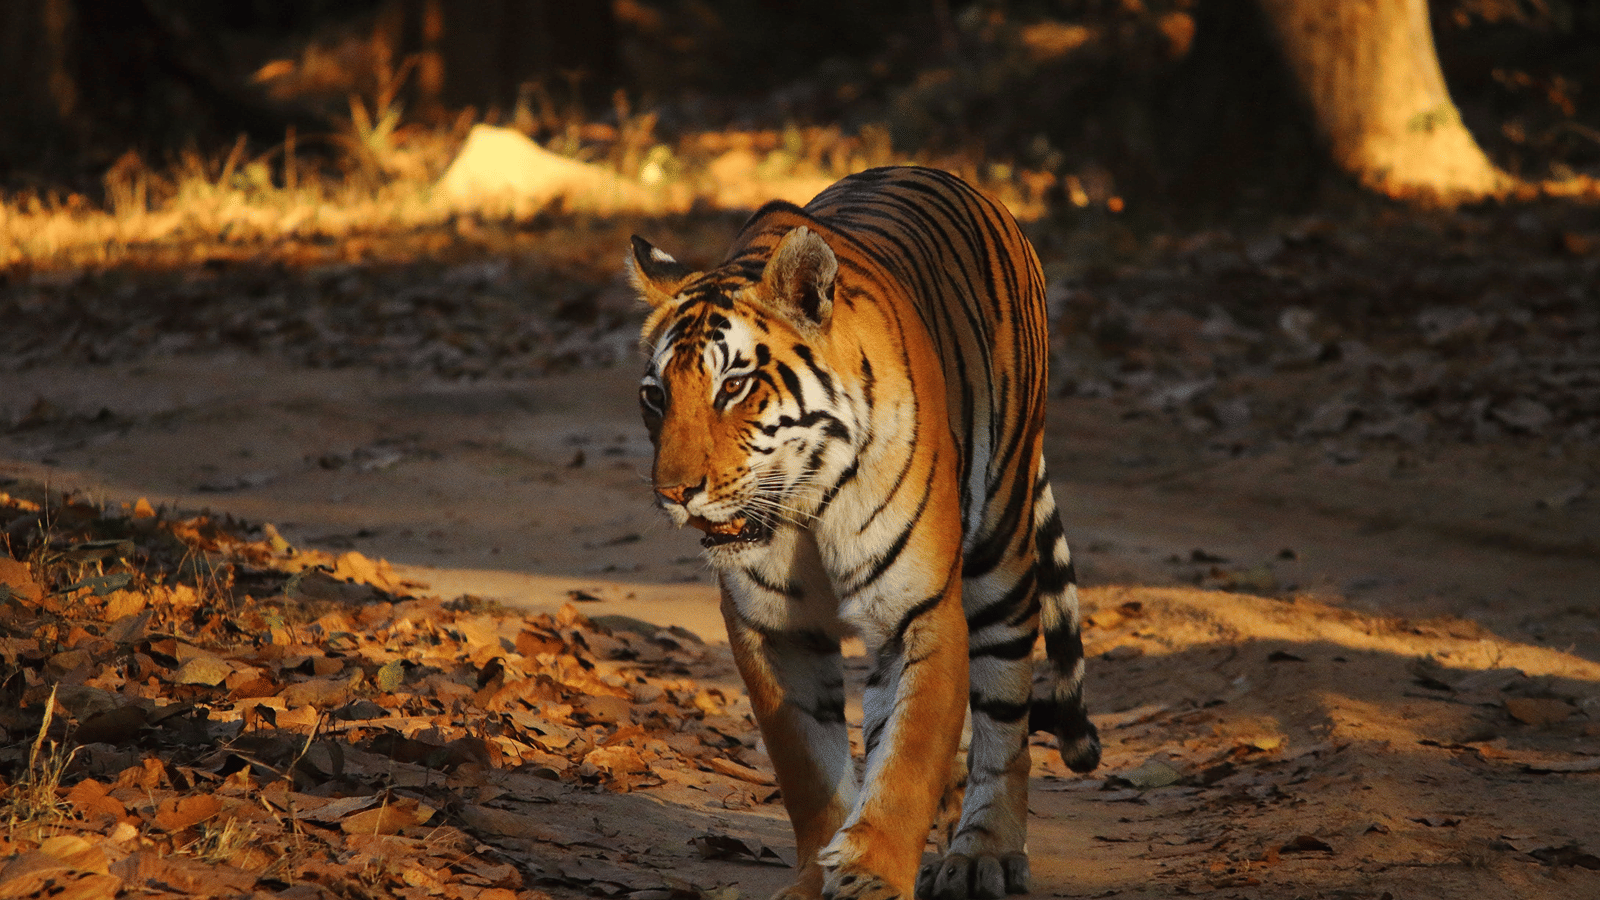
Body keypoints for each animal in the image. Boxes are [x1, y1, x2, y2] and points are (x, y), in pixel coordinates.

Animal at [629, 166, 1100, 900]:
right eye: (656, 397)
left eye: (733, 386)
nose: (675, 492)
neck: (803, 500)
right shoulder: (774, 628)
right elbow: (809, 767)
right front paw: (816, 875)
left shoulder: (918, 610)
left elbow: (907, 761)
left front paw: (873, 874)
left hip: (1000, 551)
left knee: (1005, 719)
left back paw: (983, 852)